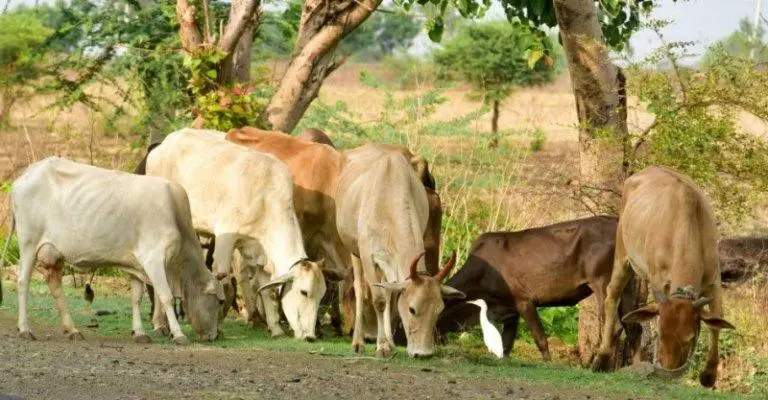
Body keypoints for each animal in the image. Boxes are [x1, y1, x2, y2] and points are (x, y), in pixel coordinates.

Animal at [7, 156, 224, 344]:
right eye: (220, 301)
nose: (215, 335)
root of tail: (31, 169)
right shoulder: (153, 259)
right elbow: (166, 296)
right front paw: (178, 334)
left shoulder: (136, 265)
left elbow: (136, 299)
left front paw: (139, 332)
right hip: (28, 244)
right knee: (23, 282)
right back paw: (25, 329)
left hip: (54, 253)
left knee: (55, 285)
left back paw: (73, 330)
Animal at [147, 129, 330, 340]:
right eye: (303, 292)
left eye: (321, 295)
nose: (310, 336)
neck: (267, 197)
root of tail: (162, 146)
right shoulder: (225, 237)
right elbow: (222, 280)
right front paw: (217, 326)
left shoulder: (260, 254)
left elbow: (265, 289)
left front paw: (275, 329)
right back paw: (159, 324)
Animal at [334, 143, 462, 356]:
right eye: (412, 309)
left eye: (438, 310)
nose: (424, 353)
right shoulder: (368, 256)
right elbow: (378, 300)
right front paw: (381, 346)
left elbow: (390, 295)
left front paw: (388, 342)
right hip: (354, 252)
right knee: (360, 289)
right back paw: (358, 342)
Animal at [436, 217, 640, 360]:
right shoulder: (510, 311)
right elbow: (506, 345)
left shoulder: (524, 301)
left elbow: (540, 338)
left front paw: (548, 363)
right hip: (628, 286)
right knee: (633, 327)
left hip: (602, 283)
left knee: (615, 326)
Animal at [592, 166, 736, 388]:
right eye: (661, 334)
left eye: (689, 338)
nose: (669, 371)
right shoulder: (658, 282)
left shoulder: (714, 281)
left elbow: (716, 321)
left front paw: (708, 375)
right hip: (622, 256)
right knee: (611, 296)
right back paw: (602, 357)